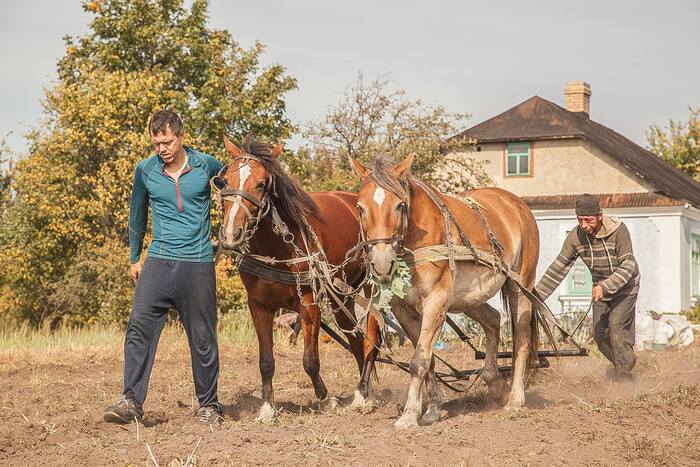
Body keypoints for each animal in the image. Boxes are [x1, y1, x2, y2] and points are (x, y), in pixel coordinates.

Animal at [219, 136, 382, 424]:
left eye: (261, 184)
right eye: (226, 181)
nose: (230, 234)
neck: (276, 248)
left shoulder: (308, 304)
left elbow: (310, 360)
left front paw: (326, 400)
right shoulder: (258, 306)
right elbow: (266, 361)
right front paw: (267, 408)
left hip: (369, 287)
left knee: (370, 339)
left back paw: (362, 395)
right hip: (339, 298)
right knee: (355, 341)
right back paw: (364, 392)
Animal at [350, 155, 540, 430]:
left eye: (399, 205)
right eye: (360, 208)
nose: (382, 263)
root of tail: (518, 205)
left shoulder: (436, 301)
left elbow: (418, 360)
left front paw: (409, 415)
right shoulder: (403, 309)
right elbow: (427, 358)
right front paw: (432, 409)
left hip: (521, 284)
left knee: (522, 338)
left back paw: (514, 399)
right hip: (468, 296)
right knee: (493, 320)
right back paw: (495, 383)